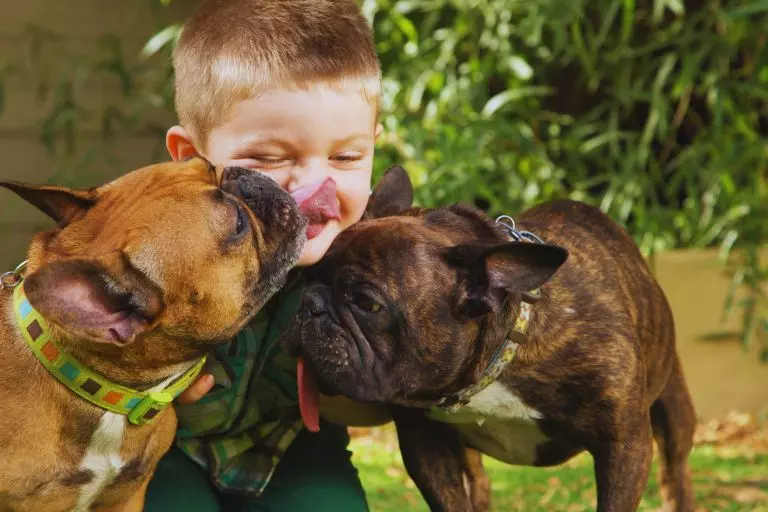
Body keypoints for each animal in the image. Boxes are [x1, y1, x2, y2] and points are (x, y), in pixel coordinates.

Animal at [284, 168, 700, 512]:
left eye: (367, 303)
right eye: (307, 277)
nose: (309, 304)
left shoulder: (624, 445)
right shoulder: (427, 443)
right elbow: (451, 501)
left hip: (673, 416)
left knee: (675, 474)